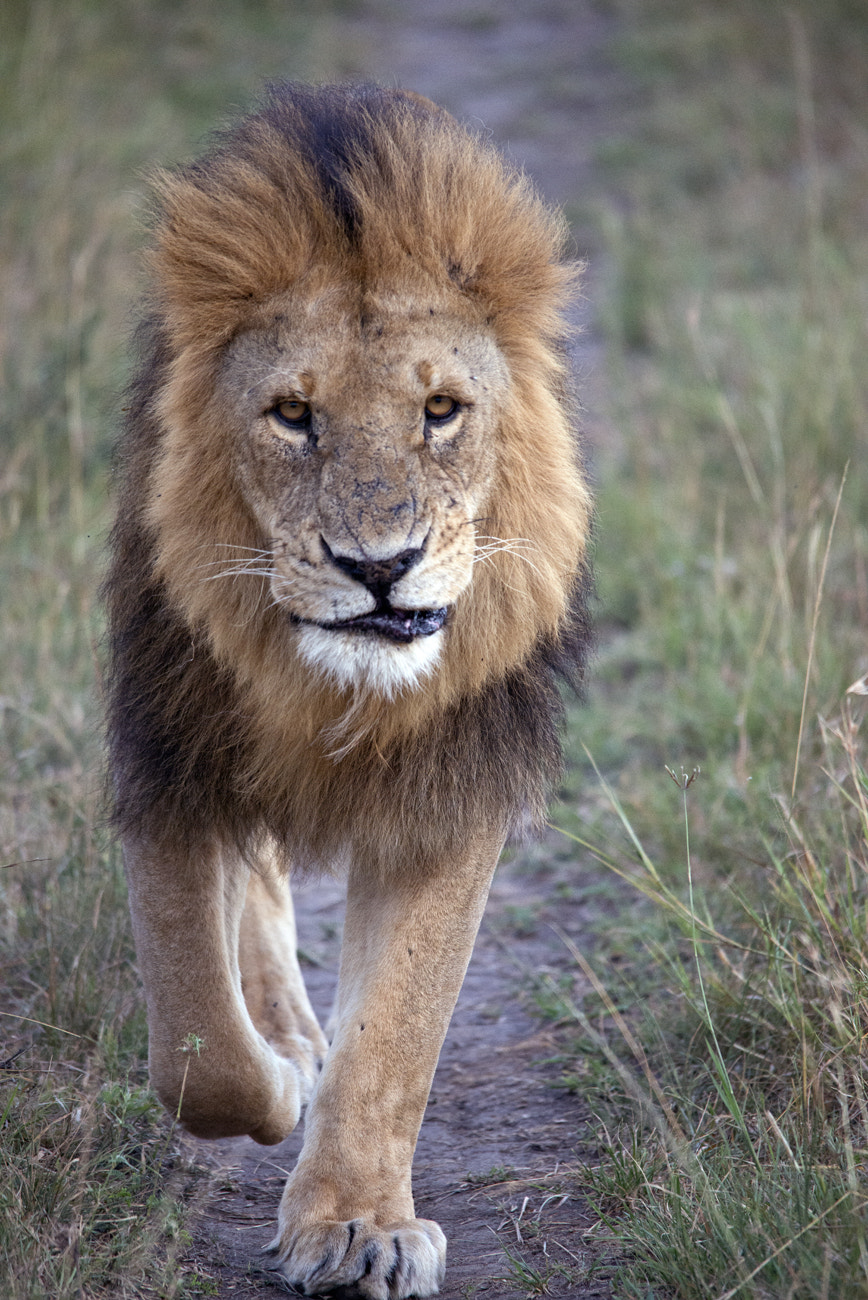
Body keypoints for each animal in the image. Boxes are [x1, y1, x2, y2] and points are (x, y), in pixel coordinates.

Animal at [105, 82, 591, 1299]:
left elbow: (396, 1041)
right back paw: (286, 1031)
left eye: (441, 410)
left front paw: (357, 1224)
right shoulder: (167, 755)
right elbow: (198, 1046)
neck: (335, 690)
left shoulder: (450, 790)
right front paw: (279, 1075)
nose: (381, 566)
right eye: (292, 414)